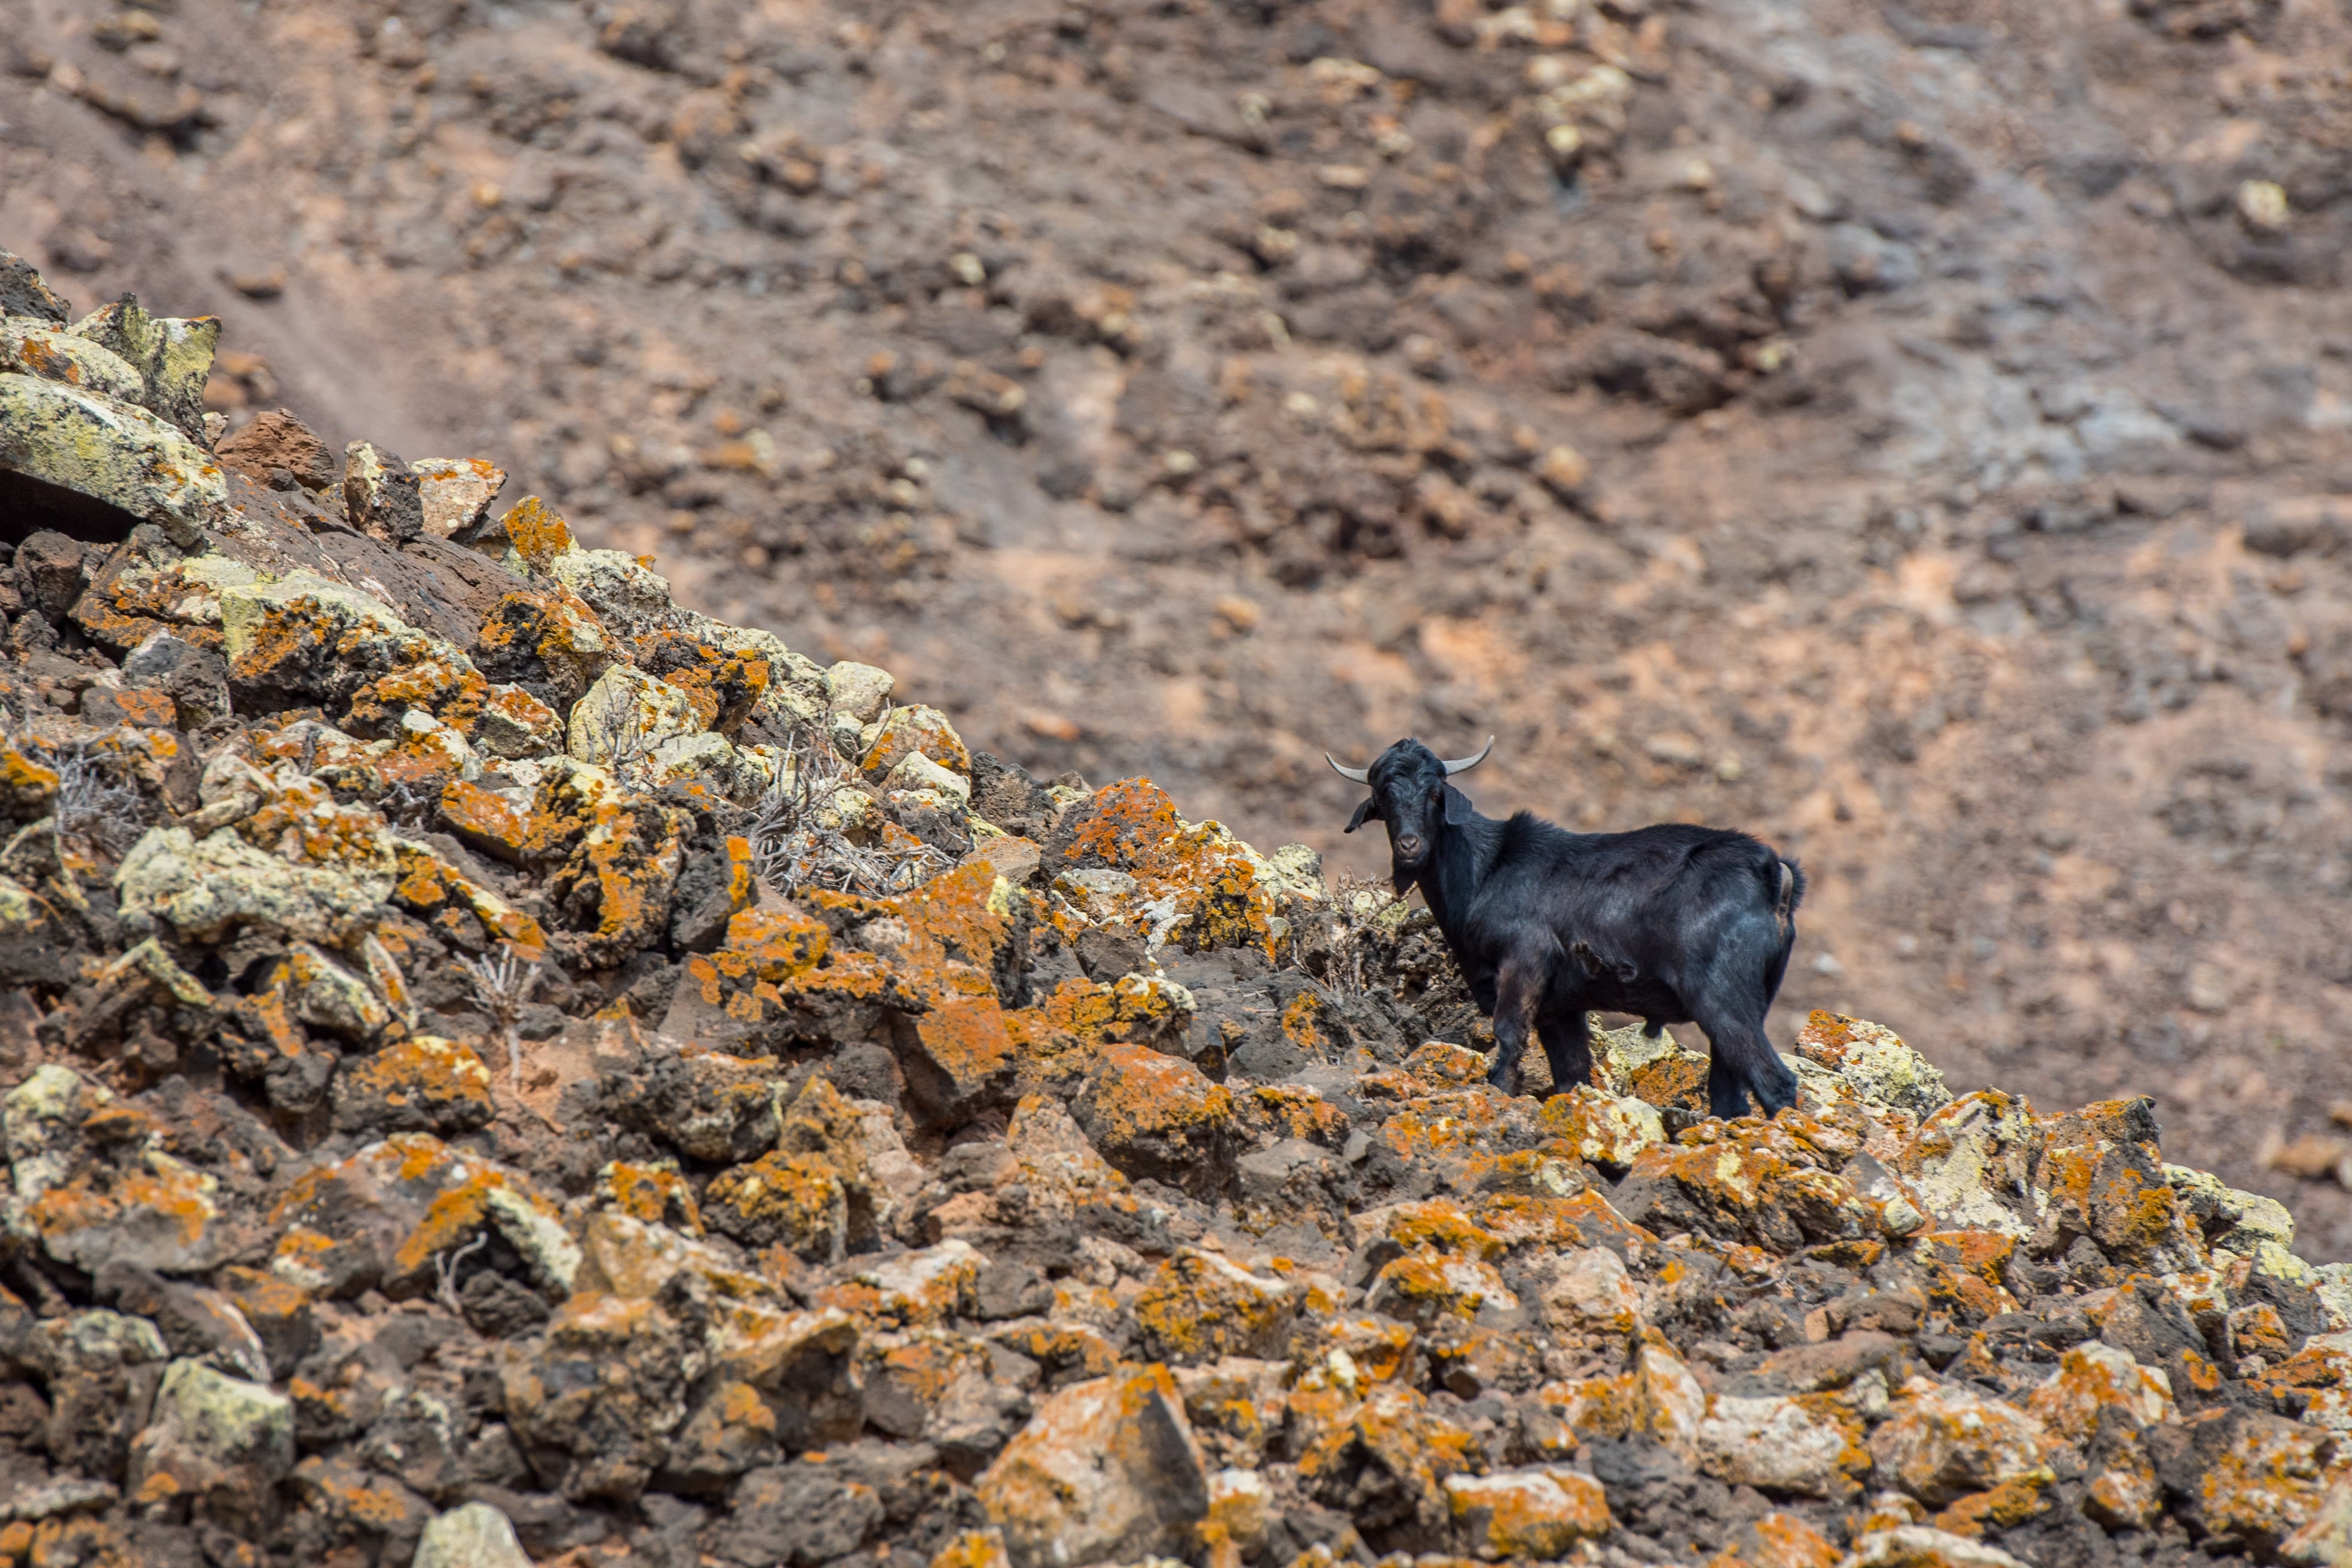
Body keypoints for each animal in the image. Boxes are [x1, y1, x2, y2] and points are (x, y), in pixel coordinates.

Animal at [1336, 738, 1806, 1114]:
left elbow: (1509, 1035)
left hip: (1721, 994)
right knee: (1730, 1092)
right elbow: (1572, 1073)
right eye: (1384, 796)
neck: (1485, 869)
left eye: (1436, 794)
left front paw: (1498, 1091)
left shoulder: (1526, 960)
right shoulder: (1560, 1008)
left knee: (1774, 1080)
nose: (1409, 845)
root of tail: (1775, 874)